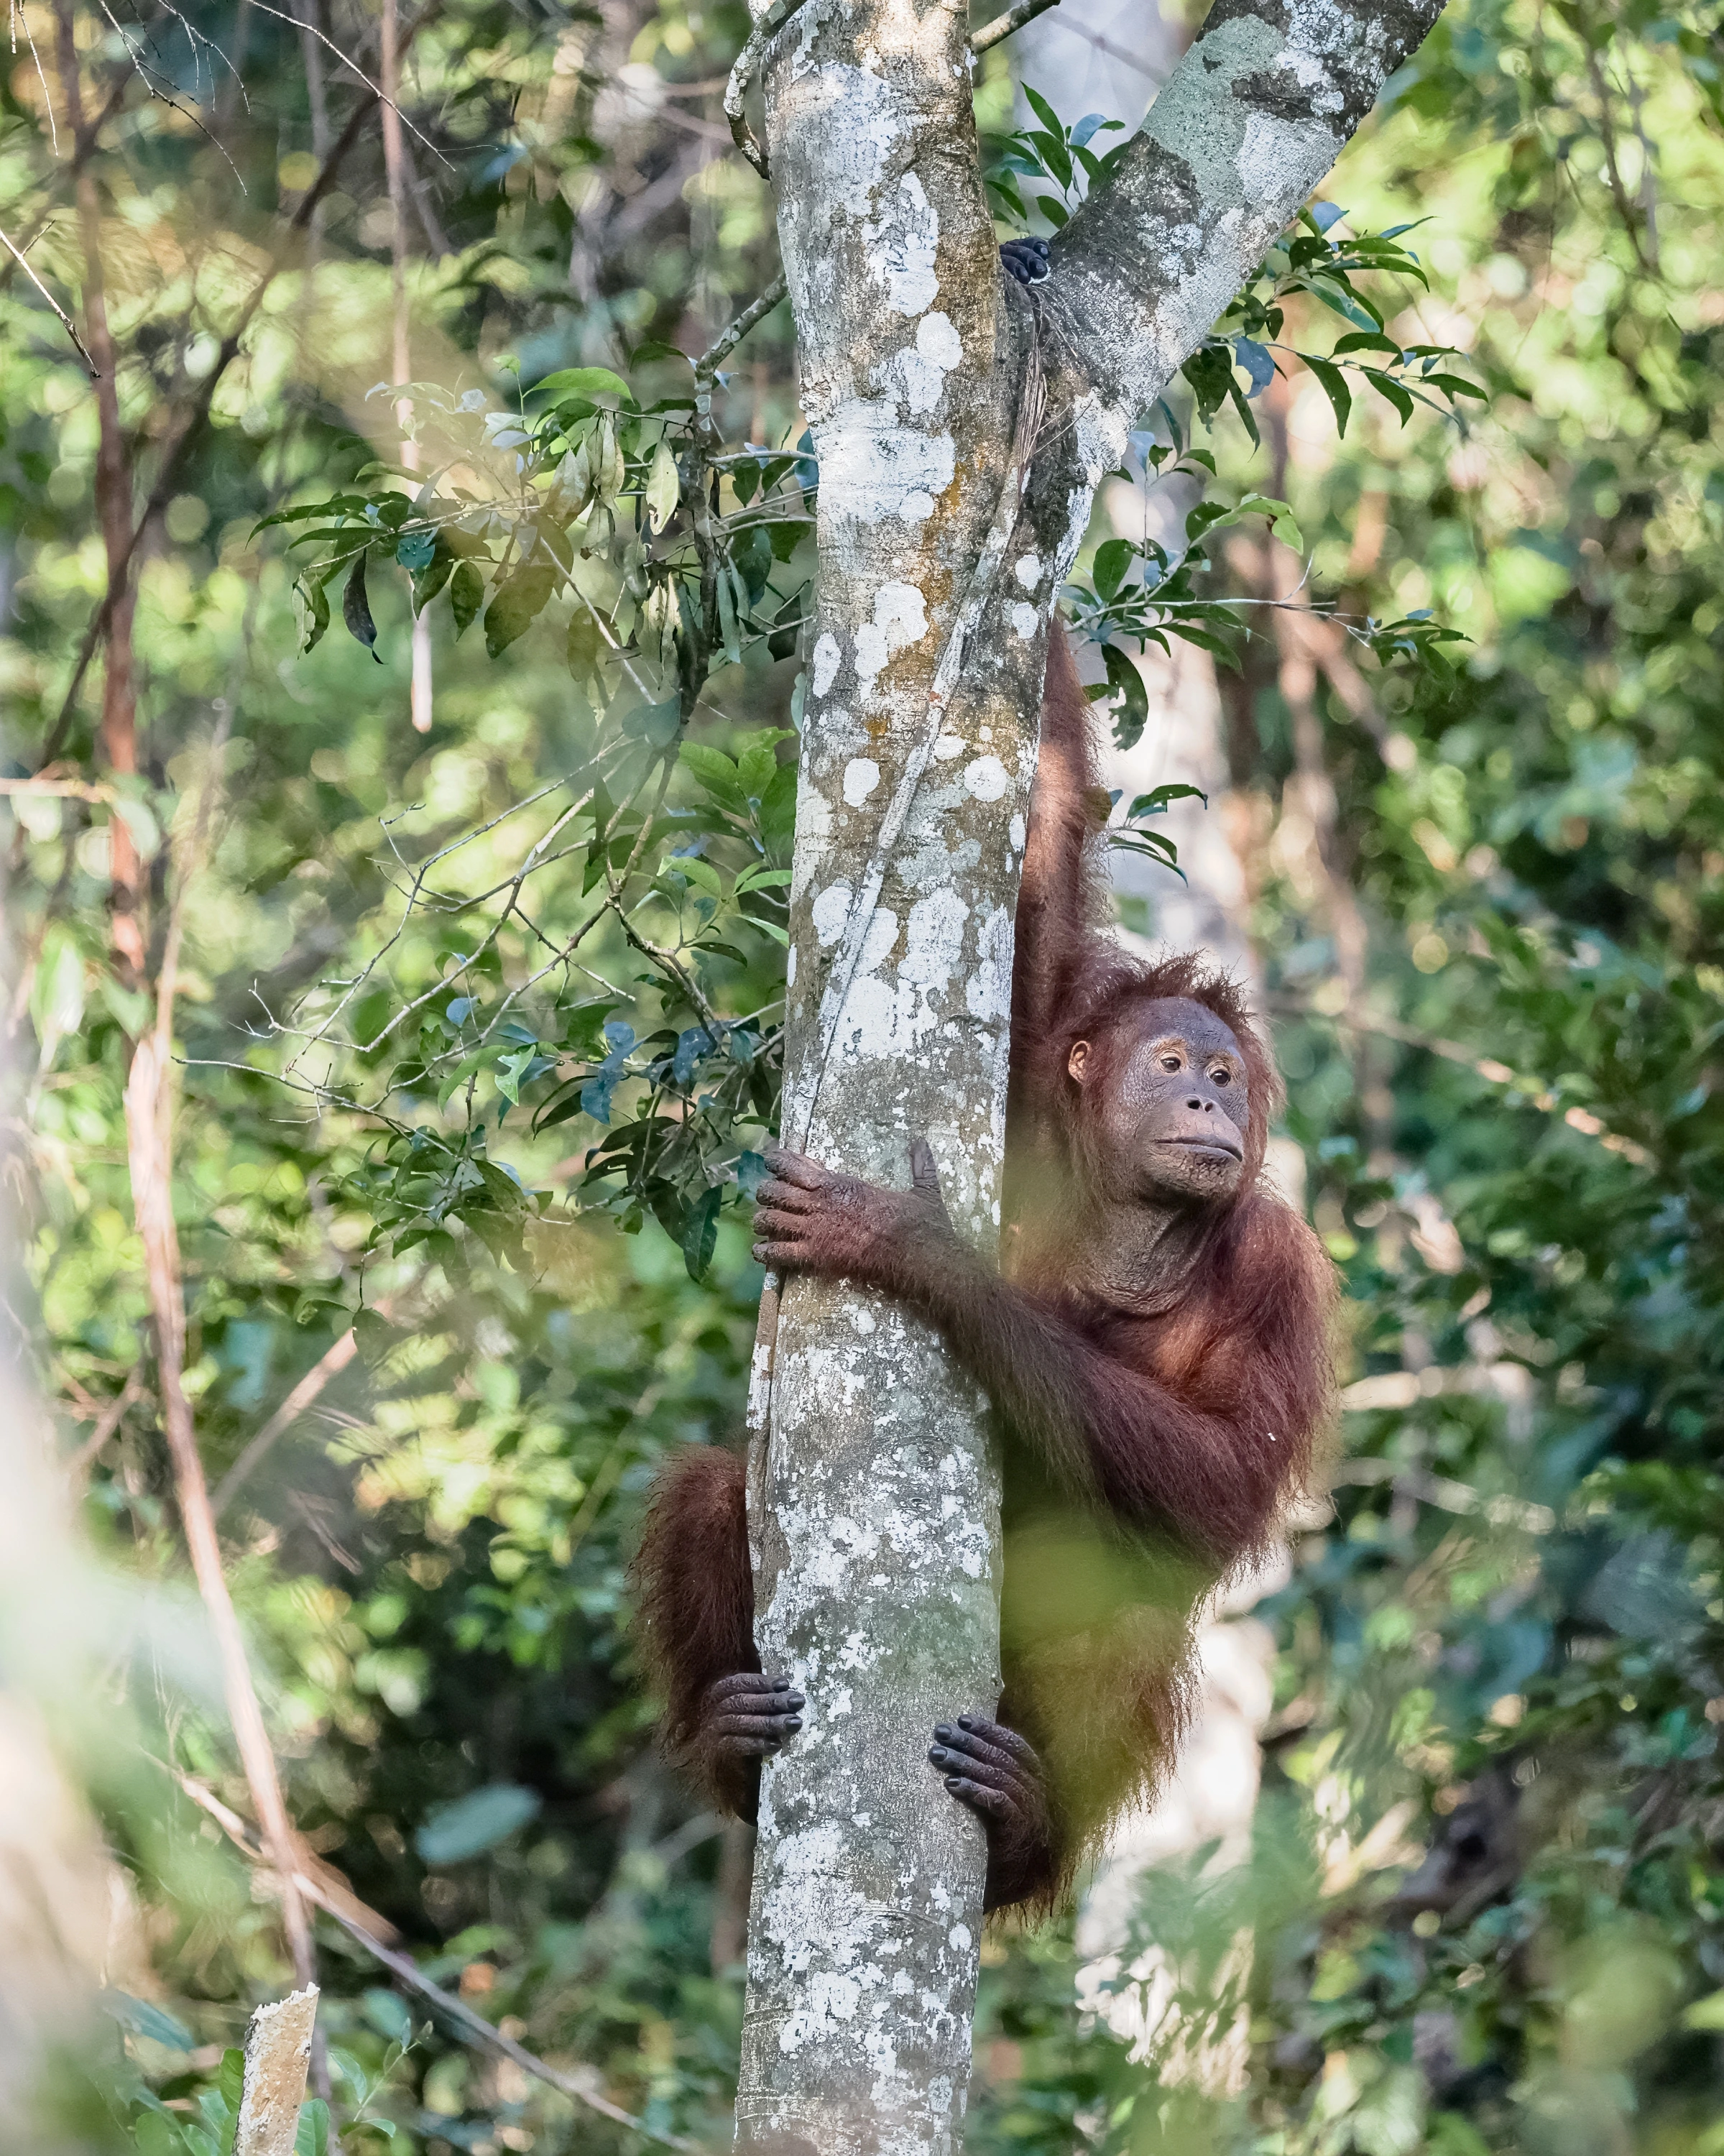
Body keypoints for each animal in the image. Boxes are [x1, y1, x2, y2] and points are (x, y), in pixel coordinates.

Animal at [635, 630, 1336, 1912]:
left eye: (1220, 1073)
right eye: (1171, 1063)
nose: (1209, 1103)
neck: (1133, 1216)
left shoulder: (1281, 1271)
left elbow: (1221, 1480)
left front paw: (916, 1249)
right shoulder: (1032, 1071)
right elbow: (1034, 870)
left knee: (1125, 1631)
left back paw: (1018, 1832)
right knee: (715, 1488)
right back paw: (735, 1751)